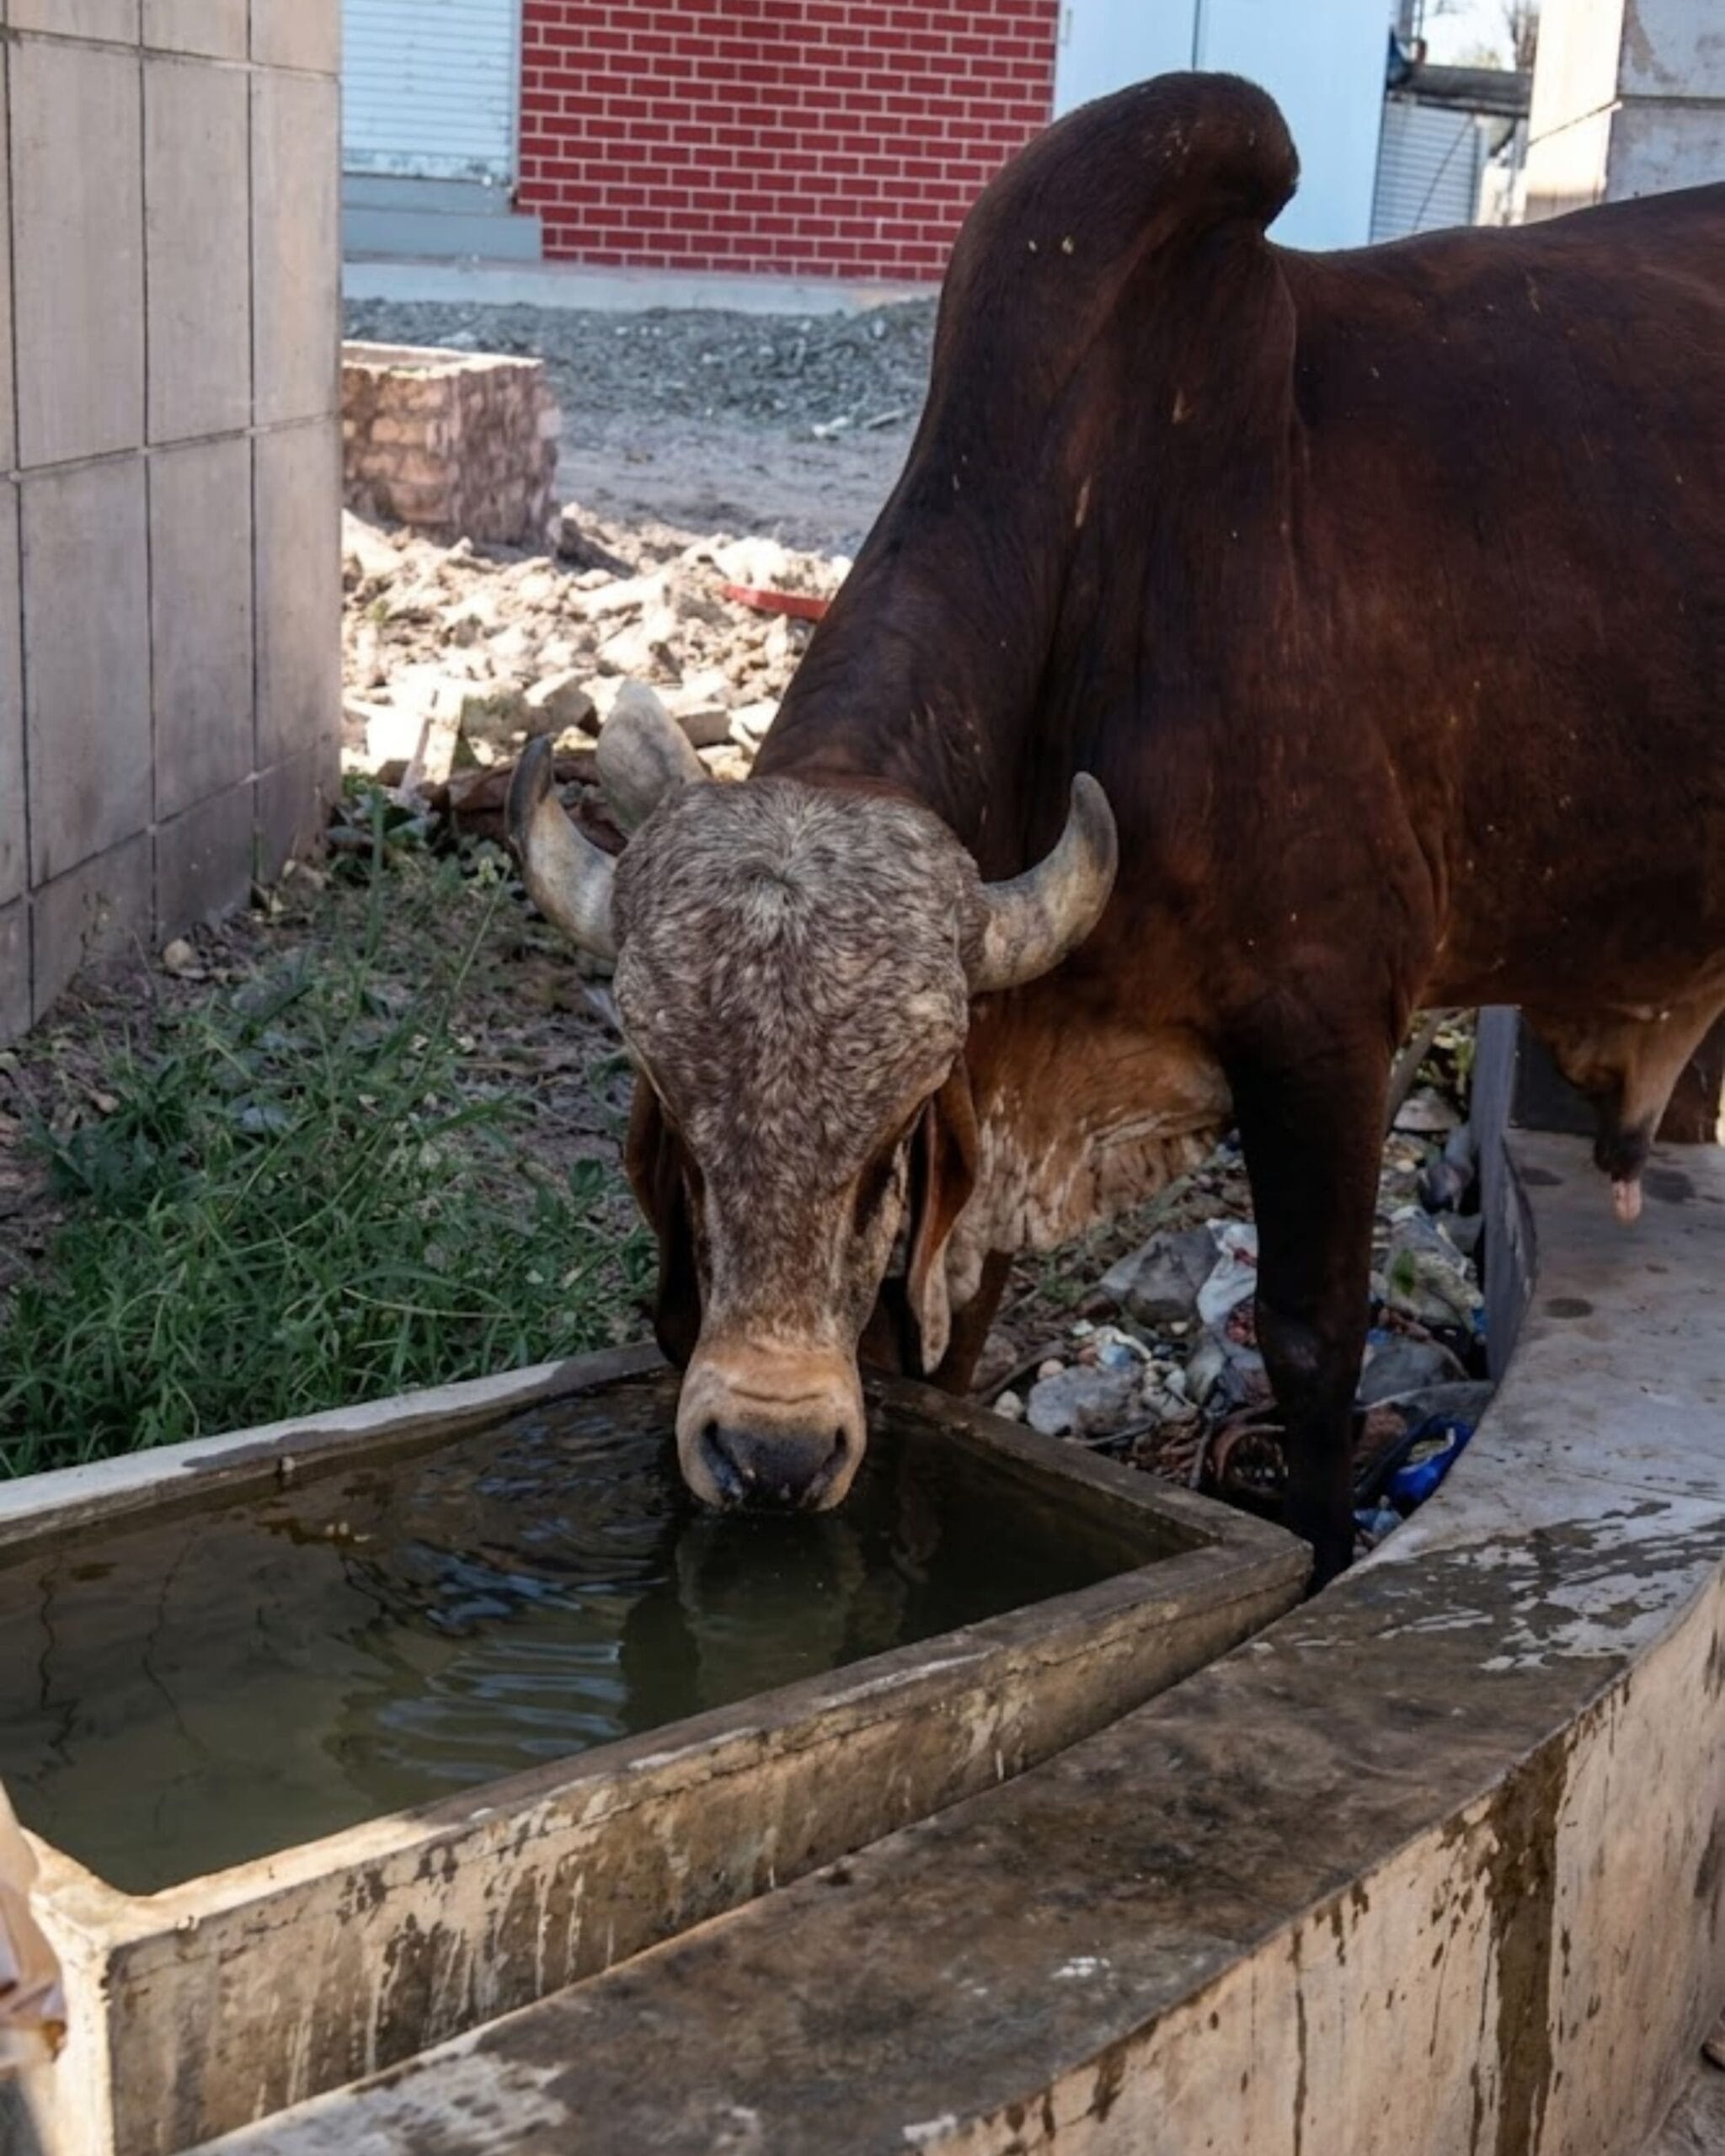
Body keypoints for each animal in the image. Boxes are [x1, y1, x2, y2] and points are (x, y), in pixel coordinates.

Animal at [511, 73, 1725, 1583]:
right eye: (672, 1099)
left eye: (892, 1123)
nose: (771, 1455)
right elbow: (941, 1335)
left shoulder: (1325, 1028)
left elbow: (1312, 1344)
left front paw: (1320, 1558)